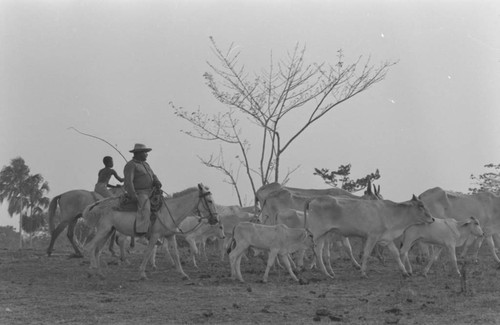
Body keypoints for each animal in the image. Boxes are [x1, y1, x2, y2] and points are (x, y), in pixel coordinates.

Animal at [82, 184, 219, 280]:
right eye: (210, 201)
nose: (215, 219)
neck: (169, 211)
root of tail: (100, 204)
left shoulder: (170, 236)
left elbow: (175, 254)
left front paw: (183, 274)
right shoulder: (155, 236)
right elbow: (148, 252)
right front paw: (142, 273)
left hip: (108, 232)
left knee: (97, 250)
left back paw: (100, 273)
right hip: (103, 230)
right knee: (90, 247)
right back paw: (91, 270)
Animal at [302, 194, 436, 278]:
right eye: (421, 206)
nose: (433, 219)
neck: (391, 213)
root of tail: (315, 199)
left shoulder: (387, 238)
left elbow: (396, 254)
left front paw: (404, 272)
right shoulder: (372, 236)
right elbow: (366, 253)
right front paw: (363, 273)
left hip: (324, 235)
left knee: (320, 252)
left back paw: (328, 273)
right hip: (317, 233)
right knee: (315, 251)